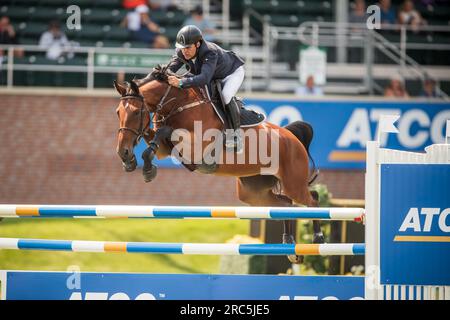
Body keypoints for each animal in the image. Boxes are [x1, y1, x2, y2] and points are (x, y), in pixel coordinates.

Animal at [112, 64, 324, 262]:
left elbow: (166, 131)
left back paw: (318, 238)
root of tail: (291, 137)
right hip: (253, 193)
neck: (178, 103)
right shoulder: (166, 149)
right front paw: (133, 163)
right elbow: (154, 138)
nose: (123, 152)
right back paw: (290, 246)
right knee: (287, 205)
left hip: (292, 182)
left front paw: (147, 169)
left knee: (312, 199)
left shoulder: (197, 146)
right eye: (118, 113)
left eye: (137, 113)